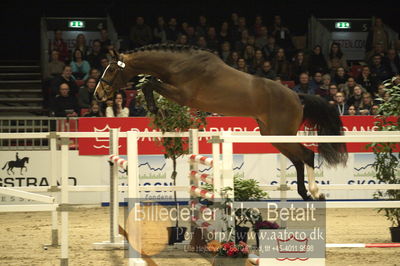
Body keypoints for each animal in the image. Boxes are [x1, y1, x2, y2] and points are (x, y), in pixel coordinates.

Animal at [94, 43, 346, 201]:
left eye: (112, 69)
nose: (98, 94)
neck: (178, 64)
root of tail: (296, 96)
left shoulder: (181, 95)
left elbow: (148, 83)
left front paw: (158, 111)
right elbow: (149, 82)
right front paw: (158, 112)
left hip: (281, 133)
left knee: (307, 155)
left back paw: (315, 192)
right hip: (273, 135)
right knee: (298, 159)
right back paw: (305, 194)